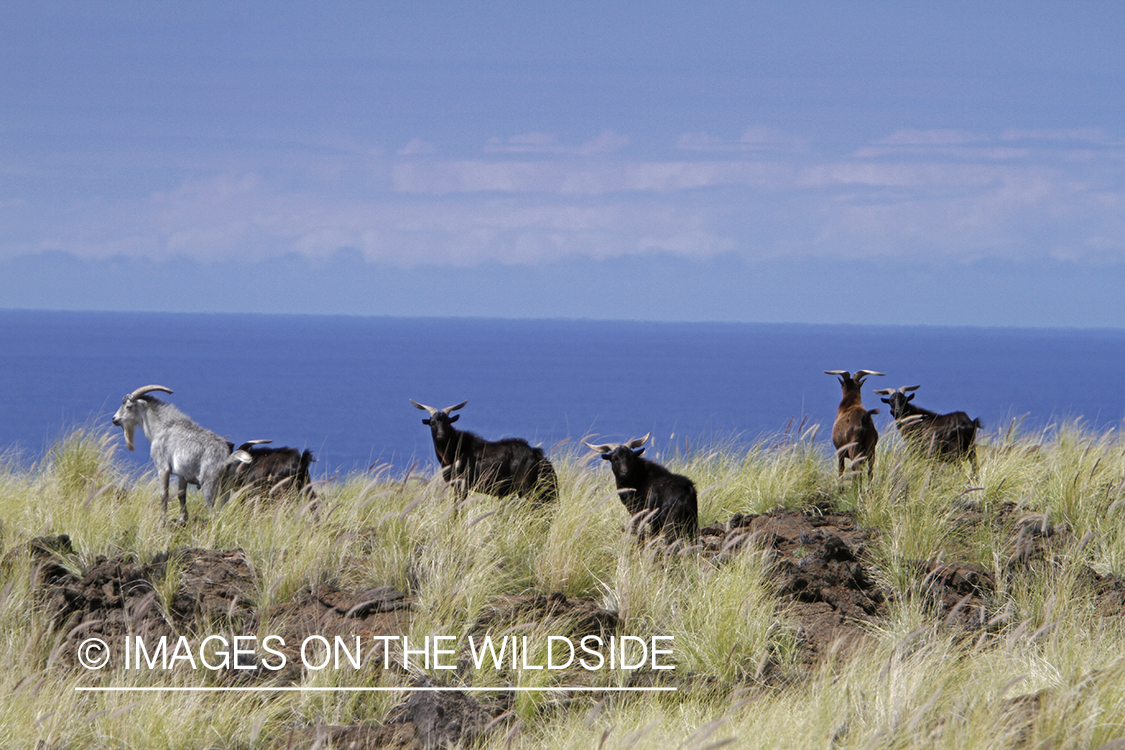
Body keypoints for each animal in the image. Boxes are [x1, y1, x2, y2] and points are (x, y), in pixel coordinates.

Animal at [112, 386, 253, 521]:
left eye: (128, 406)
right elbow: (181, 494)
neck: (161, 427)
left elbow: (164, 495)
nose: (114, 419)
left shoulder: (162, 468)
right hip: (226, 484)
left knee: (213, 511)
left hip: (209, 484)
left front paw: (162, 520)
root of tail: (226, 459)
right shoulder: (182, 474)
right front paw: (182, 518)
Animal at [409, 398, 558, 510]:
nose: (441, 435)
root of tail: (536, 455)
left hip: (525, 487)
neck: (455, 449)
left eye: (447, 422)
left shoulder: (461, 486)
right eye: (432, 423)